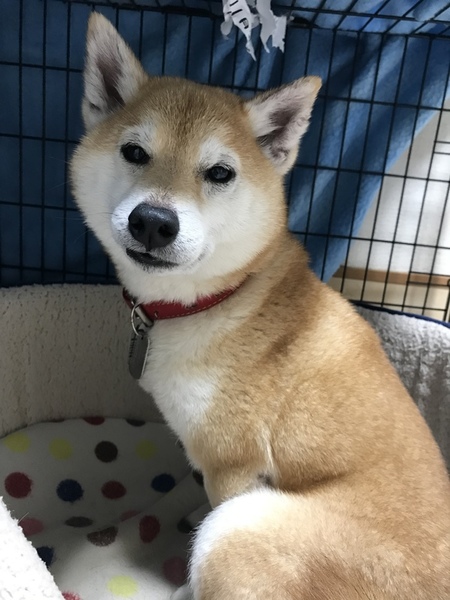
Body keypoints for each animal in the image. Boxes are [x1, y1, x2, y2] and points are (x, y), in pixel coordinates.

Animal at [70, 13, 450, 599]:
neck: (227, 297)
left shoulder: (234, 465)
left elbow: (211, 497)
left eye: (219, 173)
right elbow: (188, 481)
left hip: (240, 529)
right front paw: (176, 506)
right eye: (133, 152)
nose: (153, 221)